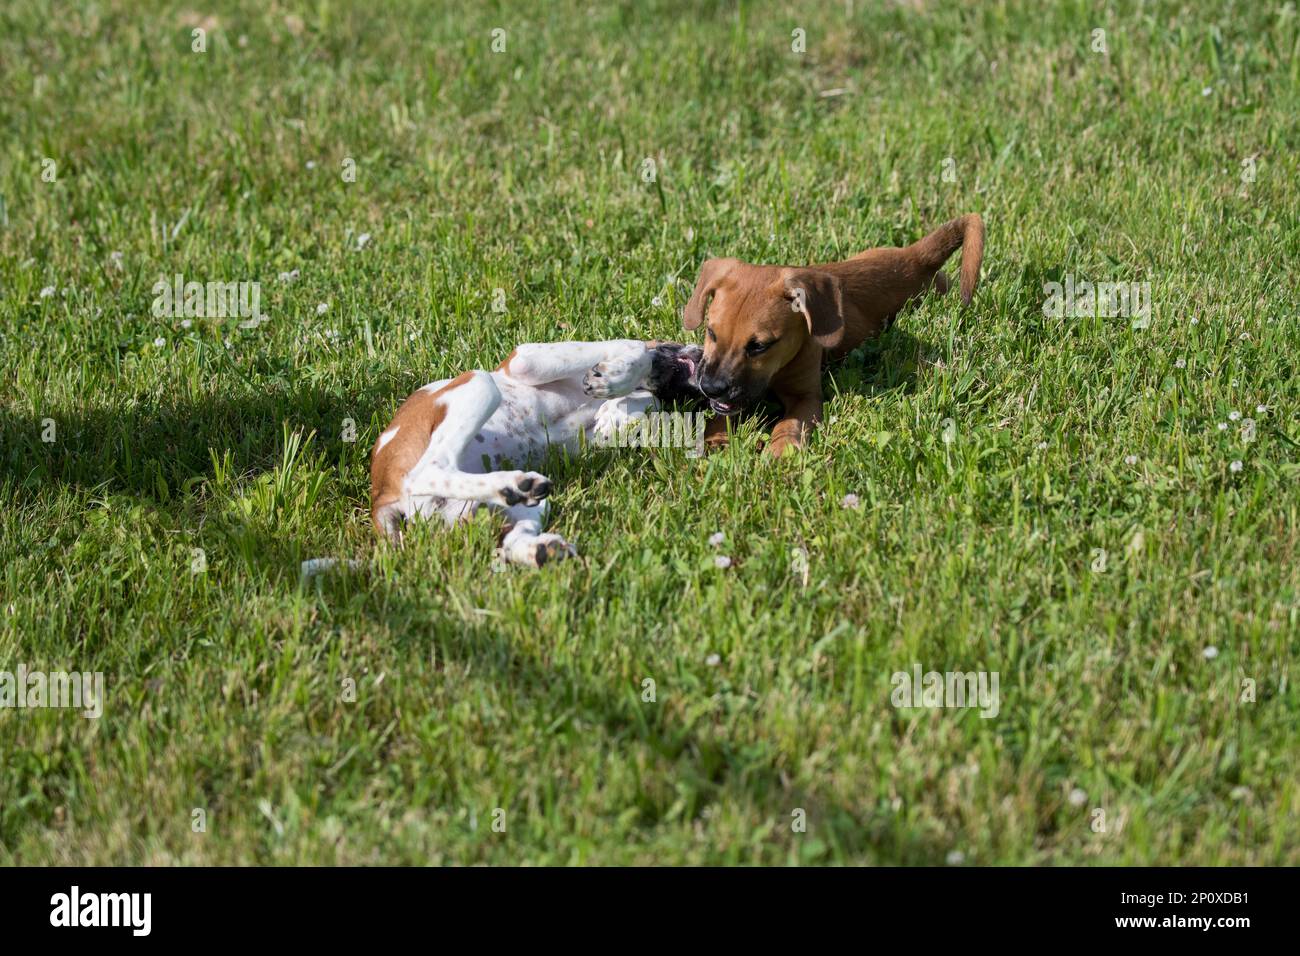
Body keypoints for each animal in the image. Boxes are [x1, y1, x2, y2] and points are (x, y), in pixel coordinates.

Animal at [371, 343, 702, 564]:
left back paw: (539, 543)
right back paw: (513, 487)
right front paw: (620, 377)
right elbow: (635, 348)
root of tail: (382, 495)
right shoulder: (525, 358)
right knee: (430, 467)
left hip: (509, 507)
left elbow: (640, 405)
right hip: (479, 380)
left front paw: (619, 411)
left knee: (510, 538)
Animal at [686, 217, 977, 455]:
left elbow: (788, 424)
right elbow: (723, 414)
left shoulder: (807, 397)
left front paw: (780, 451)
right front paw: (713, 435)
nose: (710, 388)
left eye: (759, 346)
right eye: (711, 332)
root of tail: (914, 258)